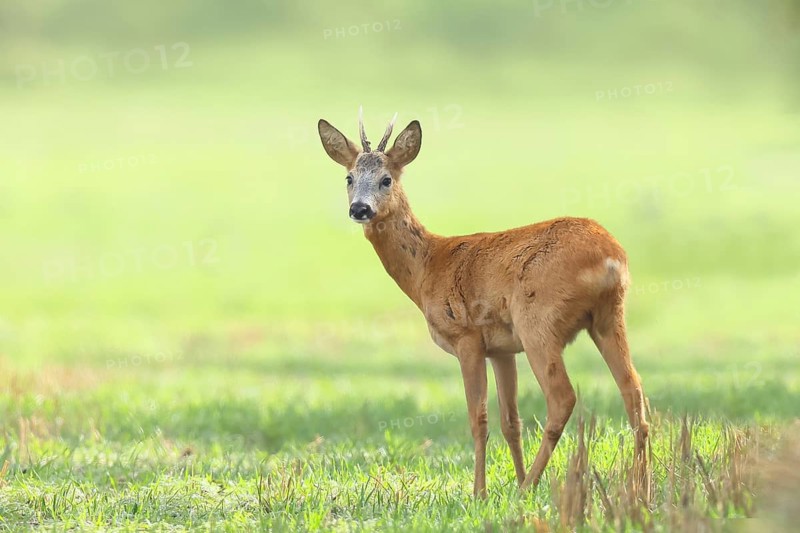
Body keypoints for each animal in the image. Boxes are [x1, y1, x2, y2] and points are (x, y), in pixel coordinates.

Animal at [317, 109, 650, 499]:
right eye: (349, 177)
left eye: (386, 179)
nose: (359, 209)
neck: (428, 267)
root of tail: (611, 257)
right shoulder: (502, 349)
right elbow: (511, 421)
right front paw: (512, 479)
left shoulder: (467, 338)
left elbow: (478, 418)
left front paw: (480, 492)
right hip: (608, 317)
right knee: (633, 390)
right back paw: (639, 489)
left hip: (538, 321)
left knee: (563, 398)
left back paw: (530, 488)